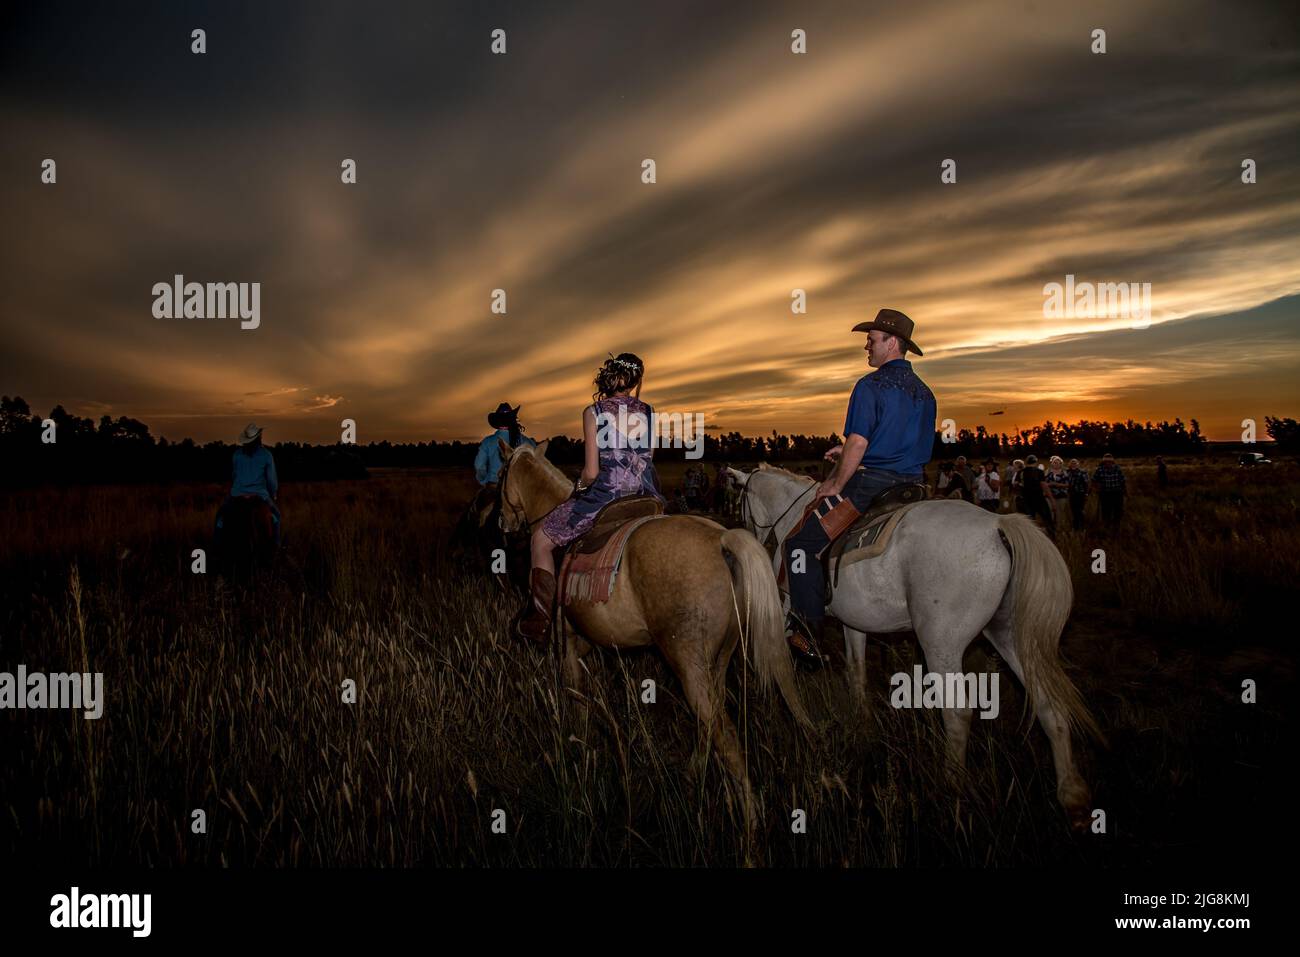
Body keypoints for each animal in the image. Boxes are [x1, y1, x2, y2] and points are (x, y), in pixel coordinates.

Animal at [493, 442, 806, 821]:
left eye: (501, 474)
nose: (502, 521)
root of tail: (723, 539)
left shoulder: (565, 643)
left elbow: (576, 700)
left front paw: (579, 750)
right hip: (718, 661)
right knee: (710, 723)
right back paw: (693, 777)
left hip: (688, 663)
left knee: (723, 733)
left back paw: (748, 821)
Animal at [728, 462, 1102, 832]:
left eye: (740, 502)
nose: (751, 534)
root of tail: (998, 525)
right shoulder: (854, 622)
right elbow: (856, 673)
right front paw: (862, 723)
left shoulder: (783, 607)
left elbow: (780, 663)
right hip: (1009, 636)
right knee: (1048, 702)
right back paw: (1073, 797)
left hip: (941, 644)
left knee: (957, 713)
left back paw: (951, 794)